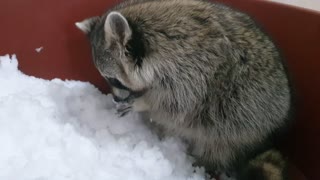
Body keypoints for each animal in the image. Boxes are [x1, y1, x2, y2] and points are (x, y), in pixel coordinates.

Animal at [74, 0, 292, 179]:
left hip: (242, 121)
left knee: (218, 144)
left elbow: (176, 103)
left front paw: (143, 103)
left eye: (114, 80)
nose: (117, 100)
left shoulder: (194, 71)